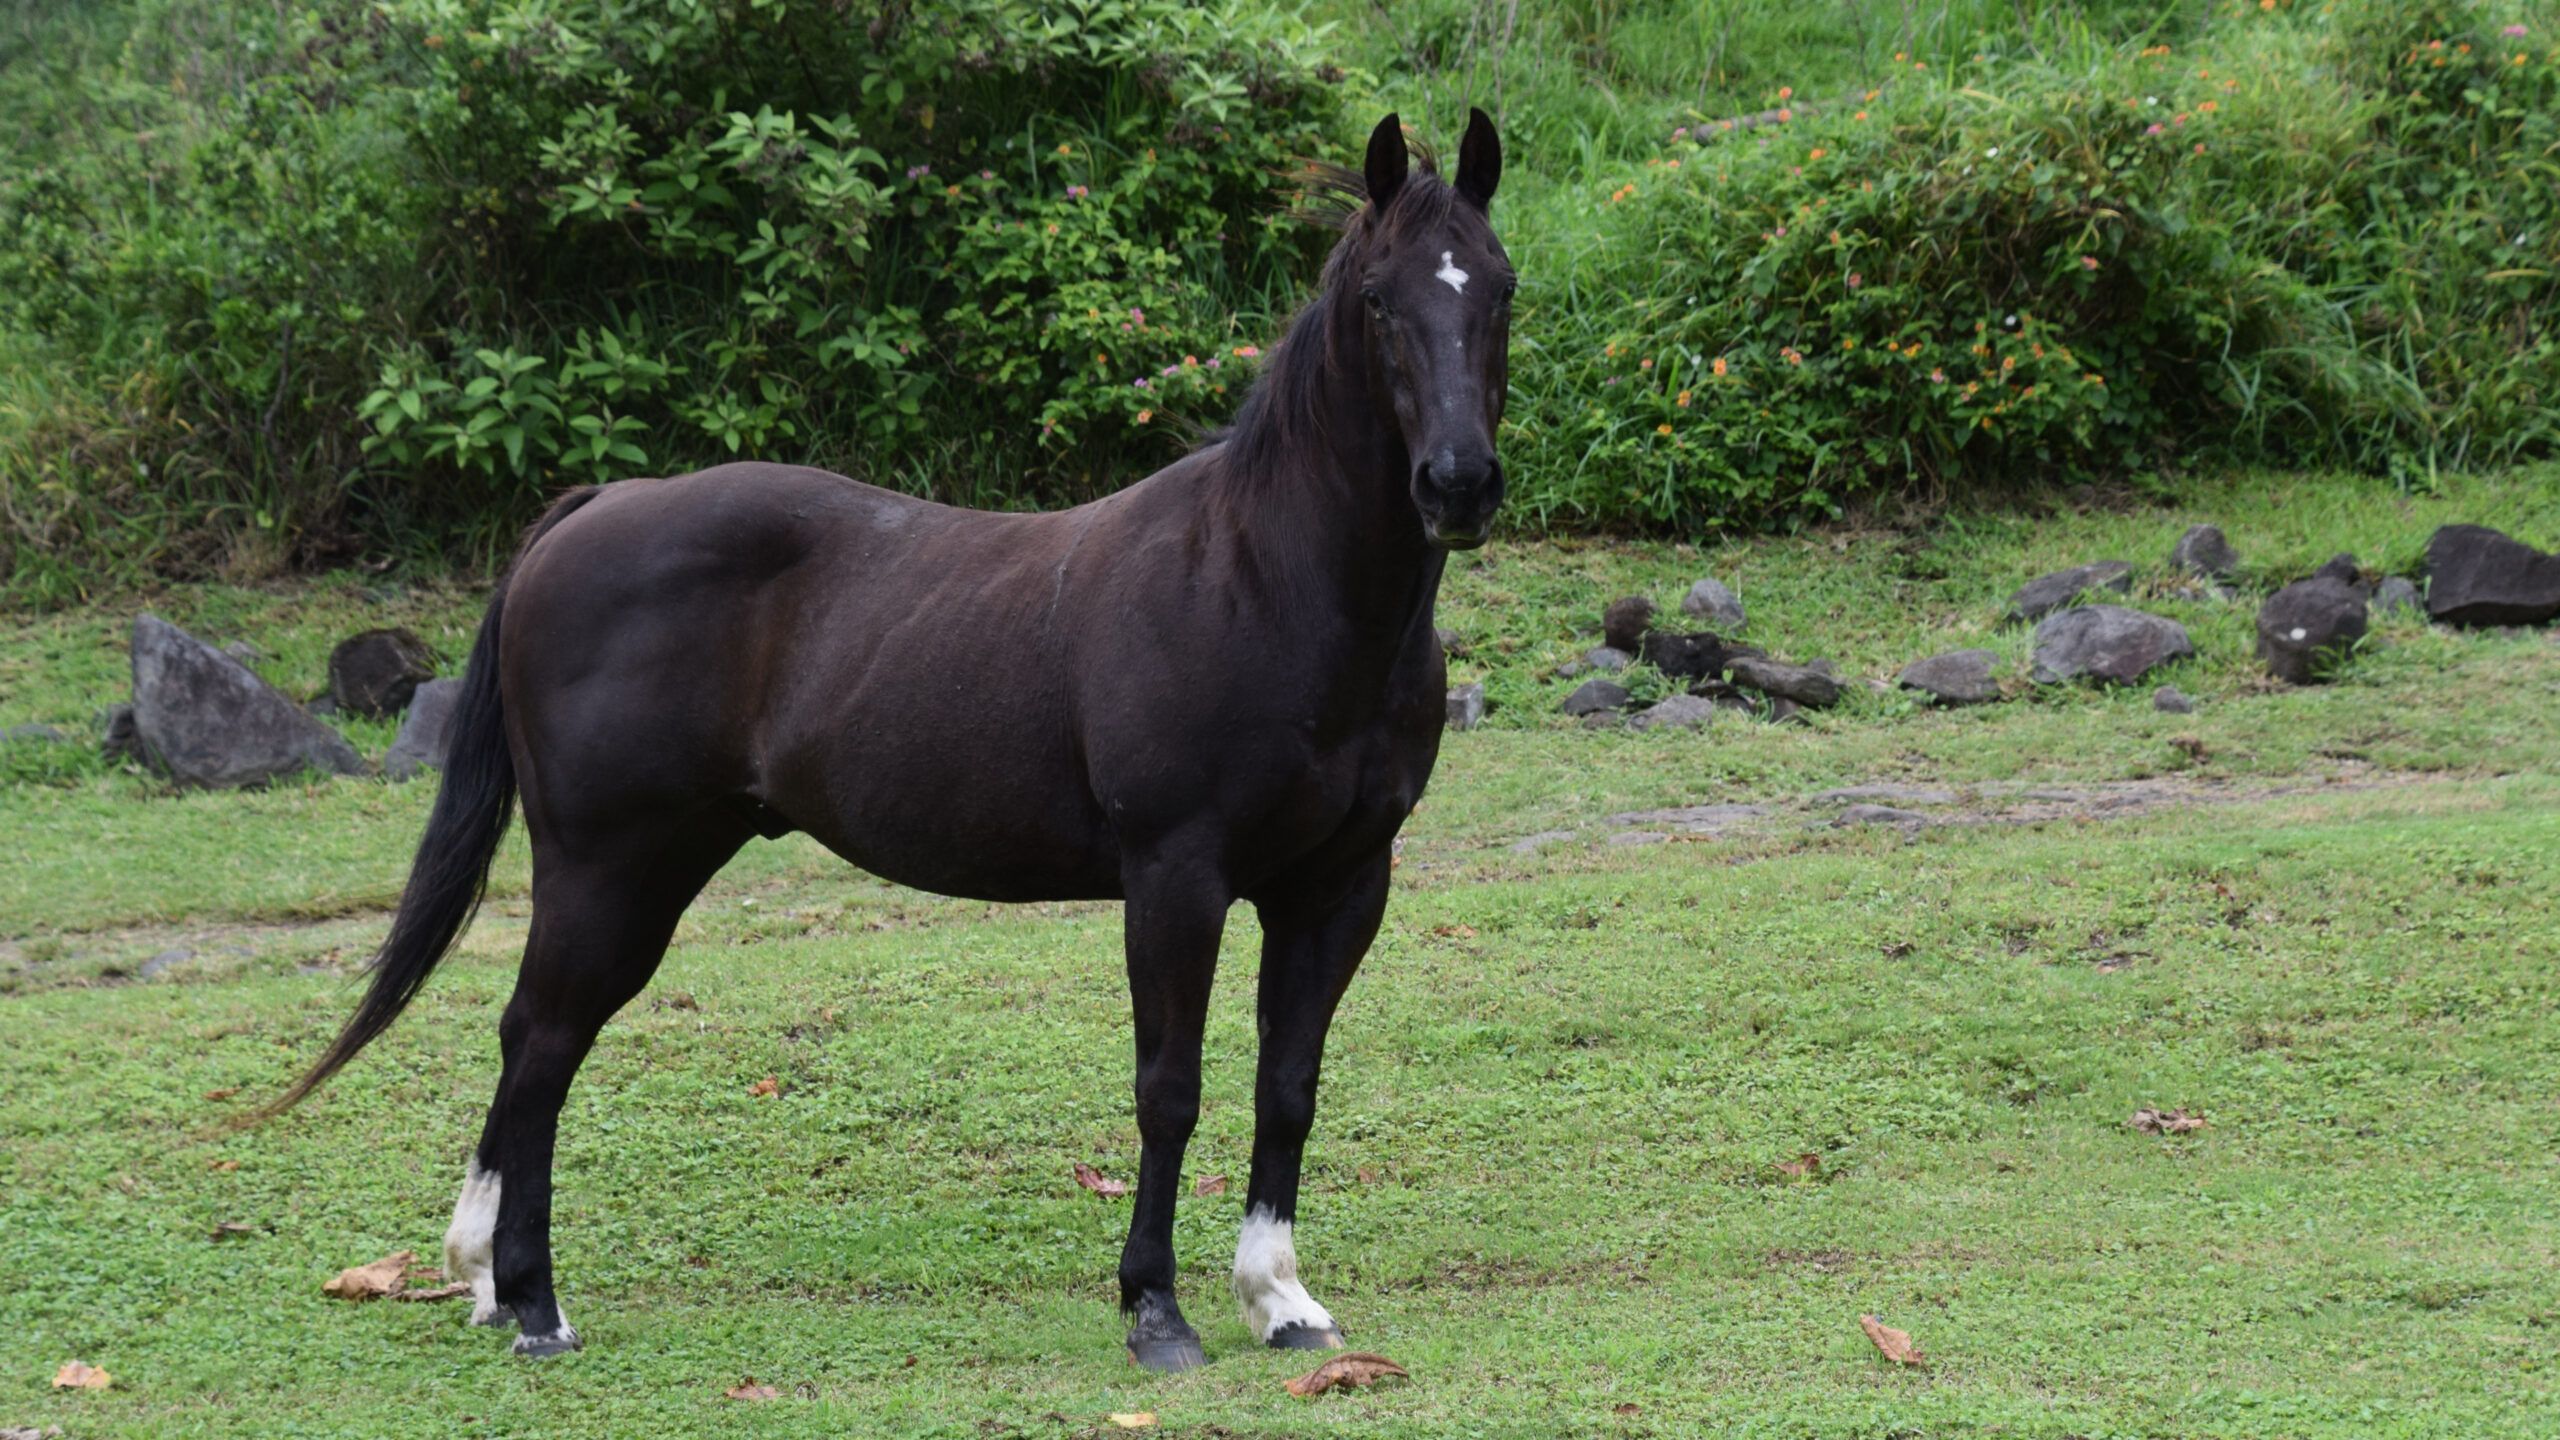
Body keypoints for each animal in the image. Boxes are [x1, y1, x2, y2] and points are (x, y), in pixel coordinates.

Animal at [275, 106, 1515, 1363]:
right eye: (1378, 297)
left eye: (1499, 287)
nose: (1457, 483)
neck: (1260, 581)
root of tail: (590, 511)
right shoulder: (1177, 875)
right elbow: (1168, 1088)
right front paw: (1156, 1312)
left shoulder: (1338, 885)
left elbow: (1288, 1086)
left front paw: (1280, 1300)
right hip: (602, 866)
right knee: (539, 1042)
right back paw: (533, 1300)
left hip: (658, 864)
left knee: (539, 1042)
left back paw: (488, 1278)